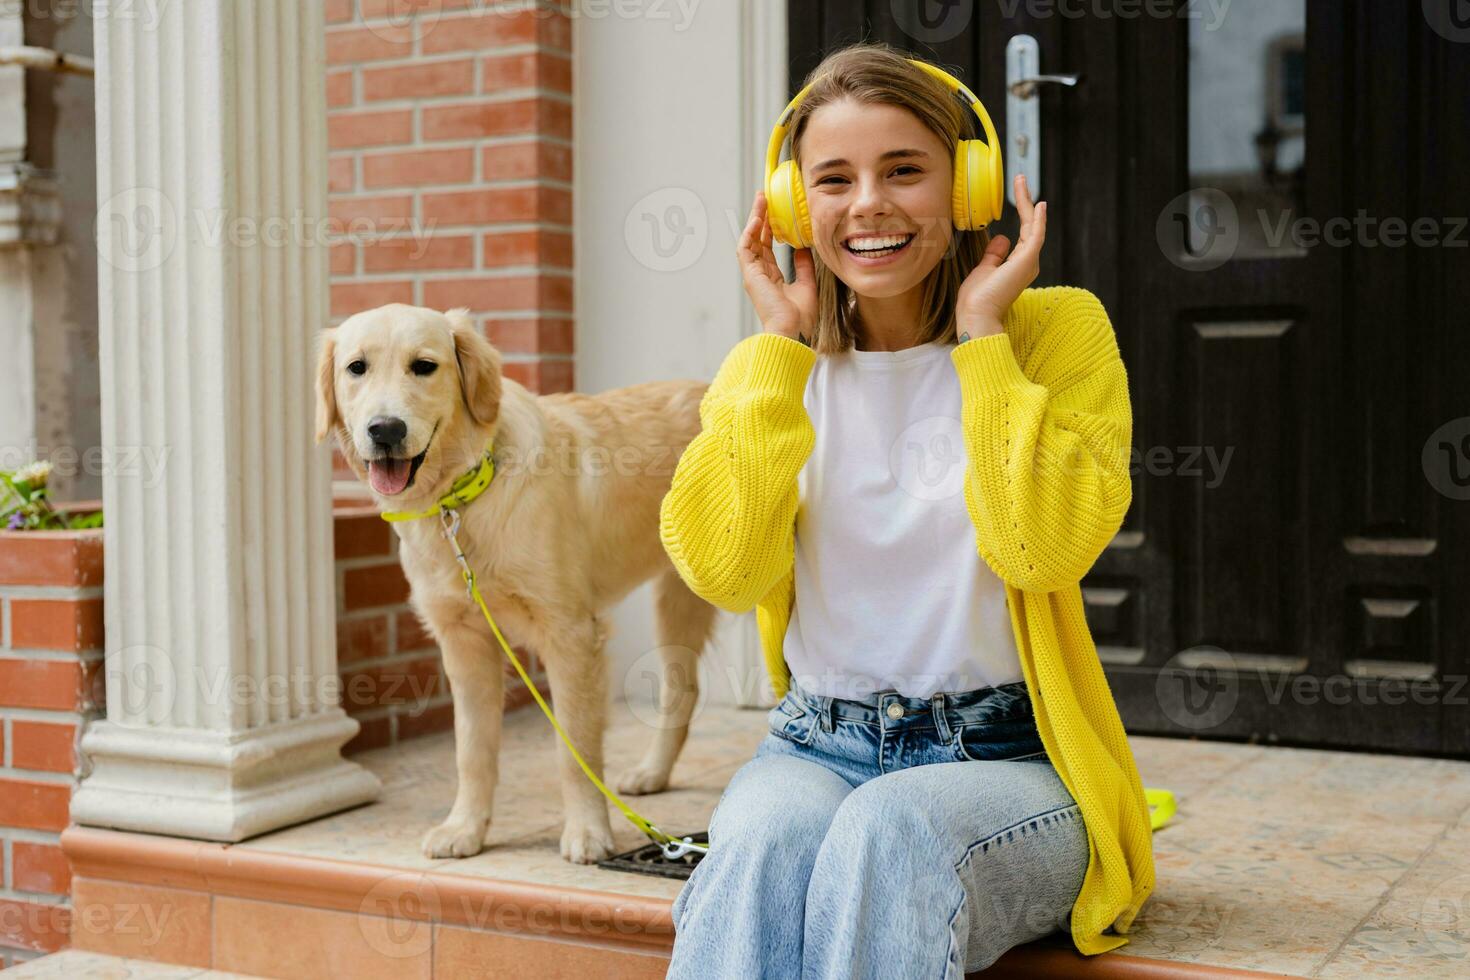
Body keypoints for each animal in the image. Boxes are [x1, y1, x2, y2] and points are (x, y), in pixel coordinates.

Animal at [316, 302, 717, 863]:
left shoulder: (571, 634)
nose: (386, 430)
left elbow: (575, 749)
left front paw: (589, 832)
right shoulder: (464, 641)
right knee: (683, 689)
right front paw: (465, 829)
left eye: (424, 366)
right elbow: (471, 749)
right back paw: (653, 773)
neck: (461, 499)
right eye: (357, 368)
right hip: (677, 598)